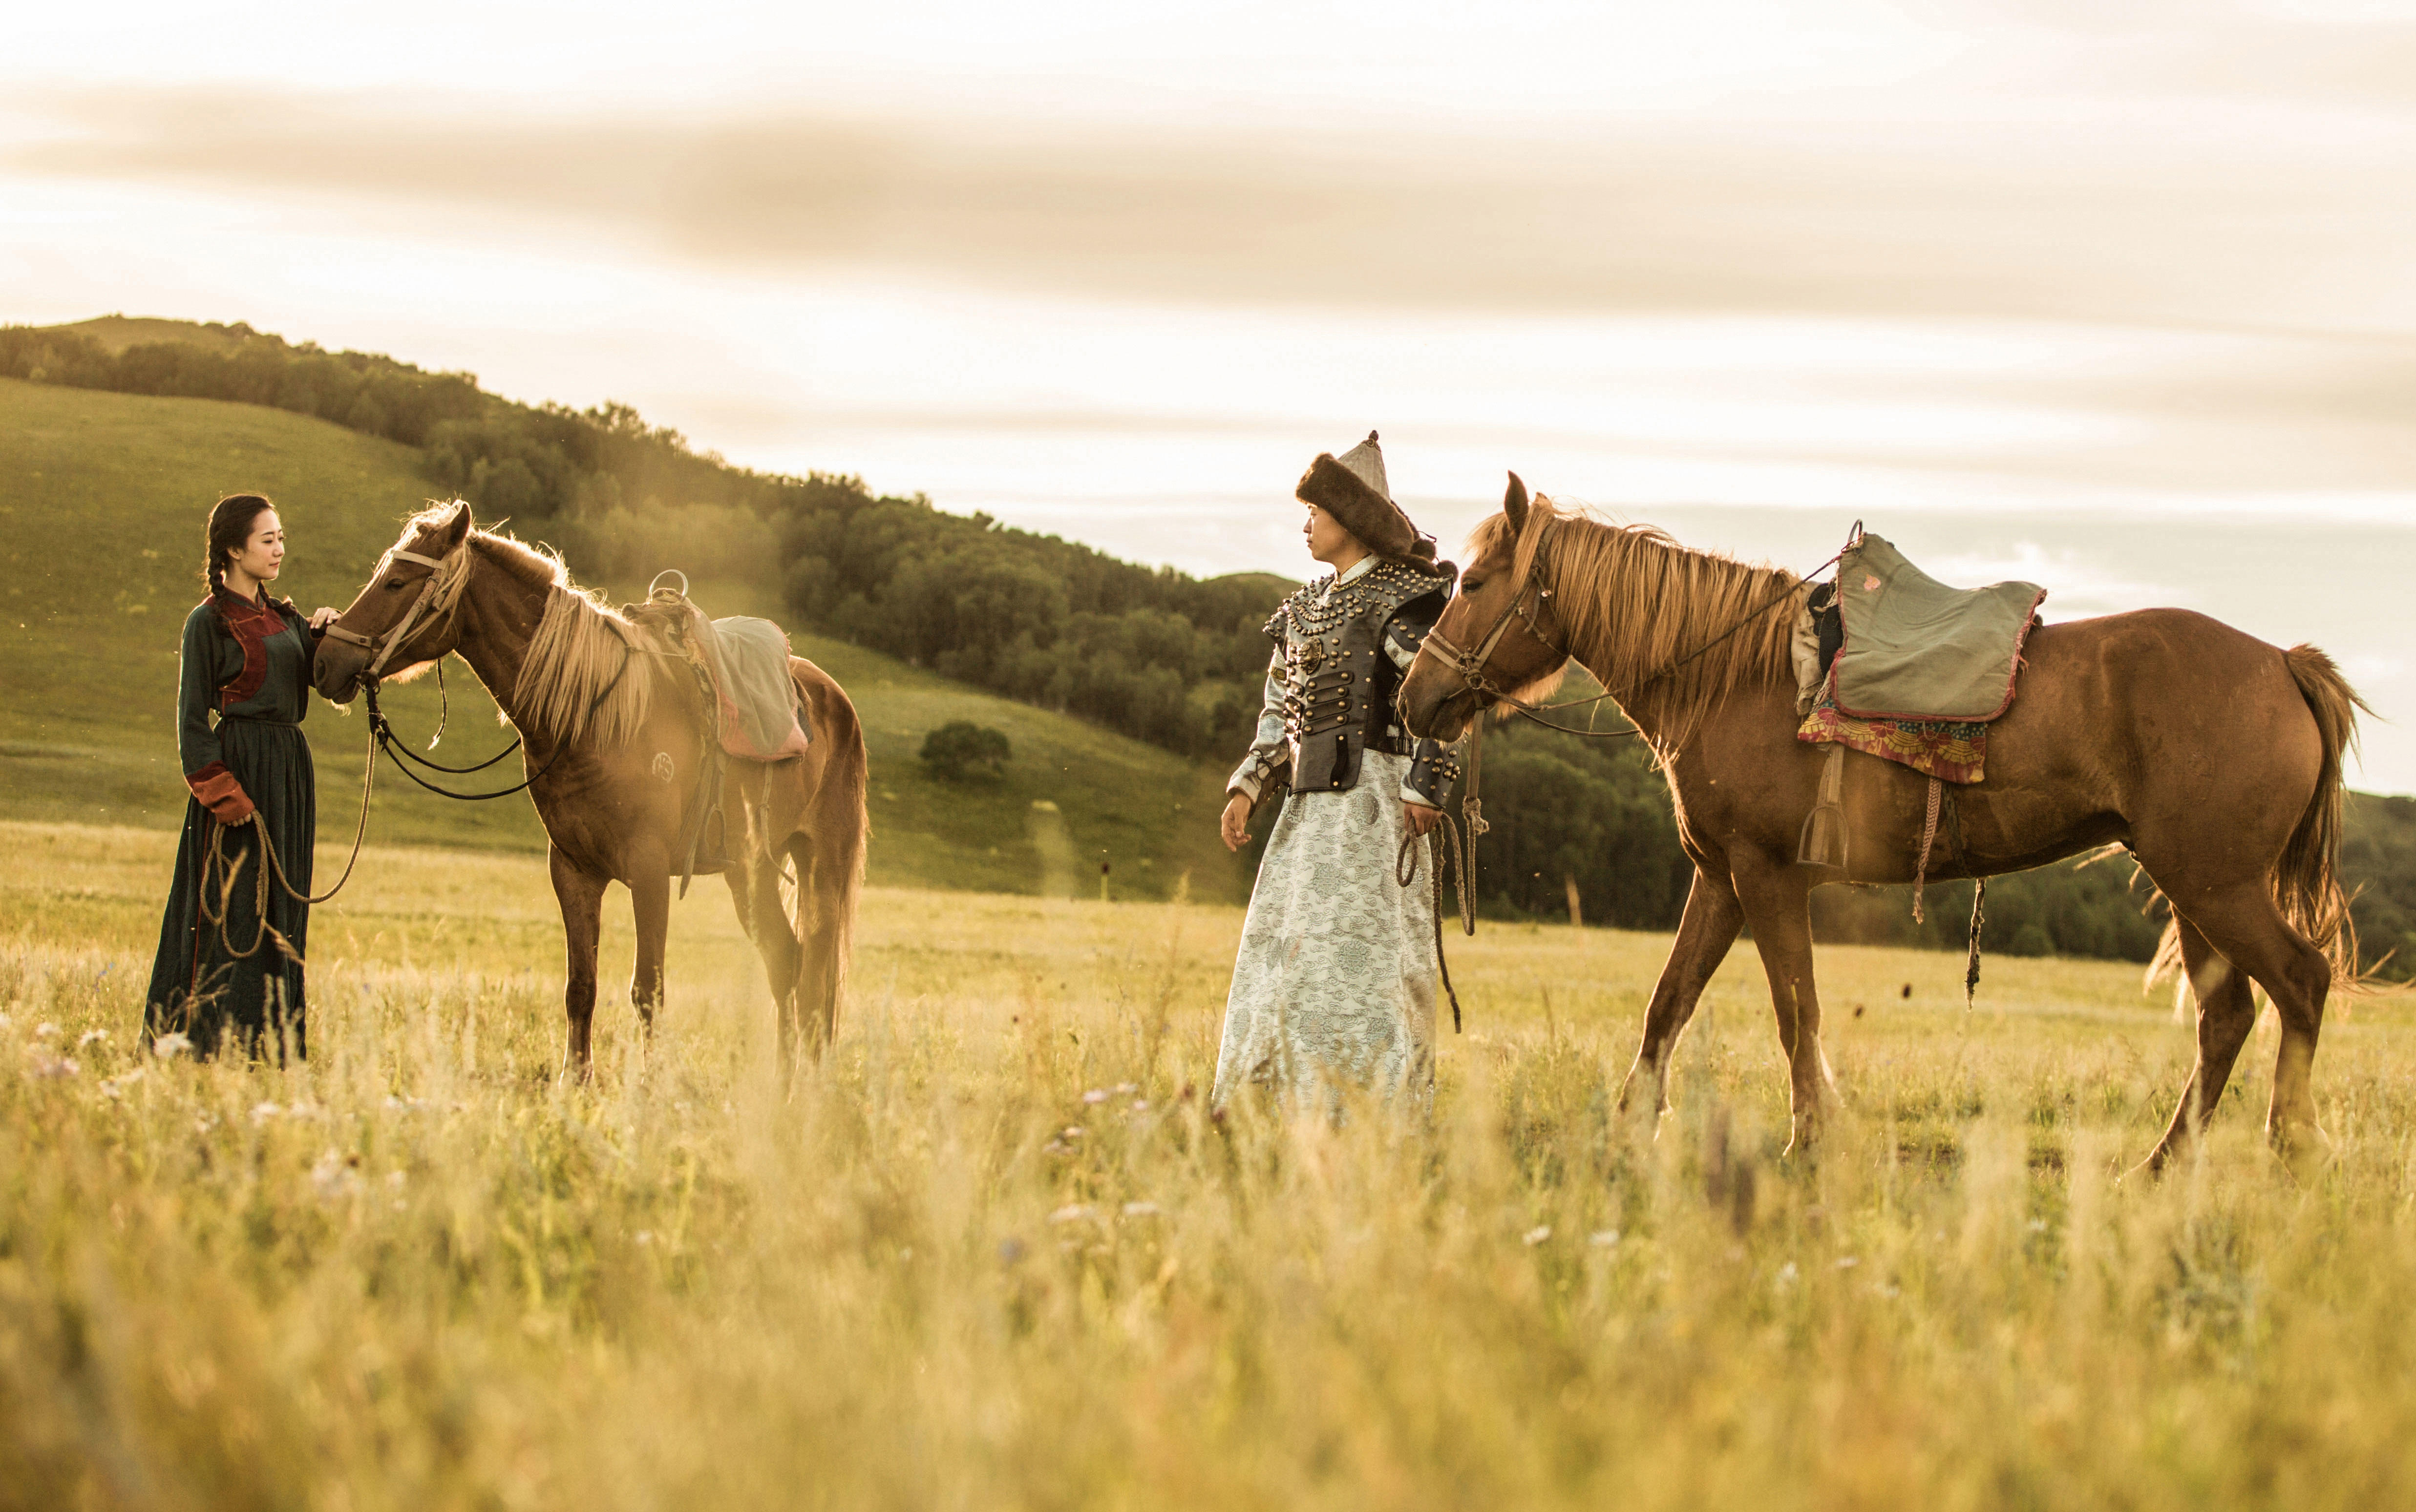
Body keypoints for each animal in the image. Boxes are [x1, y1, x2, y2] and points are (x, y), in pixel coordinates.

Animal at [316, 502, 869, 1072]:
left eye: (396, 583)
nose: (324, 661)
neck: (595, 717)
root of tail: (832, 698)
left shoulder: (649, 871)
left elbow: (648, 991)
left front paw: (649, 1088)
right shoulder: (574, 871)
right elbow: (580, 988)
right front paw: (574, 1082)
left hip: (821, 864)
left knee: (810, 972)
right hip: (751, 870)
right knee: (787, 962)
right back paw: (783, 1083)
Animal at [1401, 481, 2358, 1164]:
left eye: (1475, 584)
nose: (1415, 697)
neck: (1734, 677)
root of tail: (2283, 664)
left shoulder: (1766, 876)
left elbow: (1795, 1010)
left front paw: (1810, 1138)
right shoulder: (1720, 878)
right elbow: (1669, 1001)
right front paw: (1633, 1125)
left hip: (2214, 884)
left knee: (2299, 983)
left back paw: (2292, 1145)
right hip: (2192, 890)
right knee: (2226, 1017)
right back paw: (2159, 1168)